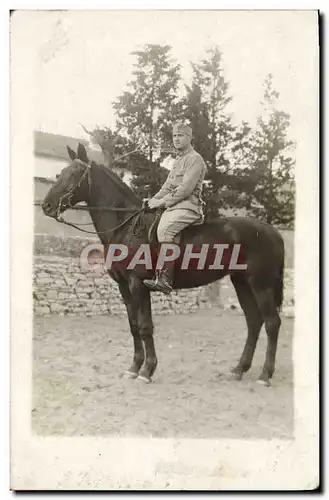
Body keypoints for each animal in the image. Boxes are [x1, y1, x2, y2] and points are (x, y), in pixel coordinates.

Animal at [41, 145, 284, 386]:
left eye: (74, 173)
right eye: (60, 173)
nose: (46, 206)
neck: (126, 226)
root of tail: (272, 231)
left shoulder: (137, 284)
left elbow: (145, 326)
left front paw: (147, 370)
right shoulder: (124, 286)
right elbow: (134, 325)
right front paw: (134, 368)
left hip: (260, 285)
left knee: (272, 323)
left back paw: (265, 374)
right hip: (241, 282)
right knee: (254, 322)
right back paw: (240, 369)